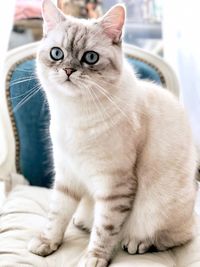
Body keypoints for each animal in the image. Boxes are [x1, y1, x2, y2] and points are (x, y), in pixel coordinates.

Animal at [27, 0, 197, 267]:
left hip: (160, 210)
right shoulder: (66, 175)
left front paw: (94, 258)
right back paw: (80, 221)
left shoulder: (113, 185)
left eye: (90, 57)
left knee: (175, 235)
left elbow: (104, 230)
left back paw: (137, 243)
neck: (75, 112)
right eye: (57, 54)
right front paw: (46, 243)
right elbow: (56, 215)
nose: (68, 70)